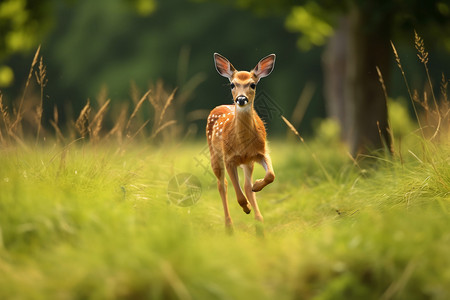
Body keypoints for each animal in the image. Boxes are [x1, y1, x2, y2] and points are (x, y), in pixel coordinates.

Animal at [207, 52, 274, 231]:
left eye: (252, 84)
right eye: (232, 84)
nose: (241, 99)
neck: (242, 145)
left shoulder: (261, 151)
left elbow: (270, 175)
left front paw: (257, 185)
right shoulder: (229, 158)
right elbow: (238, 195)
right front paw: (246, 208)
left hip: (247, 162)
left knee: (245, 185)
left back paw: (259, 220)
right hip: (215, 155)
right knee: (222, 185)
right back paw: (229, 226)